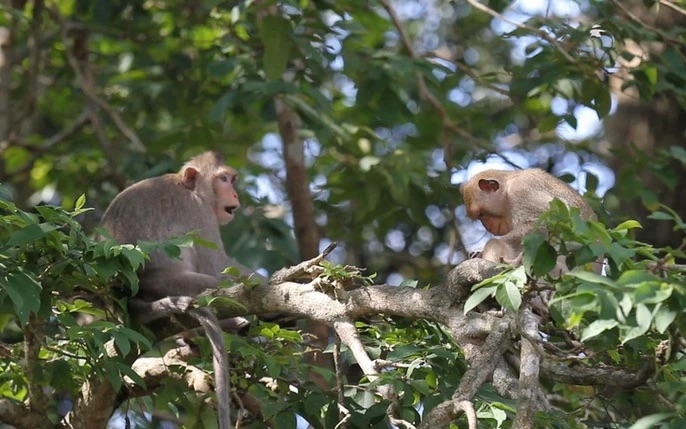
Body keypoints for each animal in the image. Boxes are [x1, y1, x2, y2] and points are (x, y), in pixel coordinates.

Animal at [99, 151, 255, 428]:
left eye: (232, 180)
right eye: (224, 179)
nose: (236, 195)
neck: (190, 188)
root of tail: (125, 298)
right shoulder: (199, 213)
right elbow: (216, 266)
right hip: (167, 283)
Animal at [462, 168, 596, 266]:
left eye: (481, 214)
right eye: (479, 217)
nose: (488, 228)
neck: (508, 188)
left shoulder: (522, 190)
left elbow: (541, 225)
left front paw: (481, 251)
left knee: (496, 242)